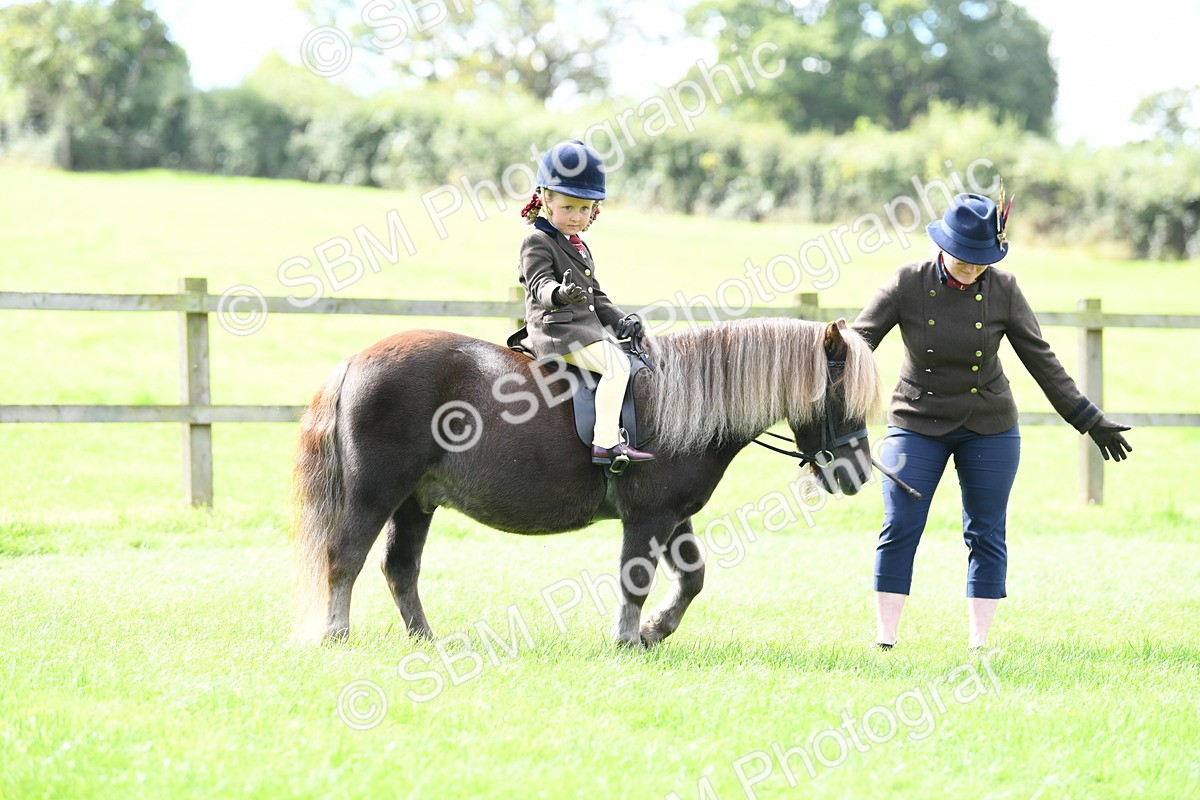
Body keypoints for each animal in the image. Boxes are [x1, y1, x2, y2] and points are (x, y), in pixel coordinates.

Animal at [292, 317, 883, 647]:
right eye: (839, 394)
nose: (857, 474)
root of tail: (355, 362)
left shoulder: (675, 517)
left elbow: (692, 578)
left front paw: (655, 631)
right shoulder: (648, 517)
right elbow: (635, 579)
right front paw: (628, 638)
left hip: (416, 501)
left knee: (400, 568)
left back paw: (424, 640)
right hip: (376, 494)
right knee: (345, 556)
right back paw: (337, 634)